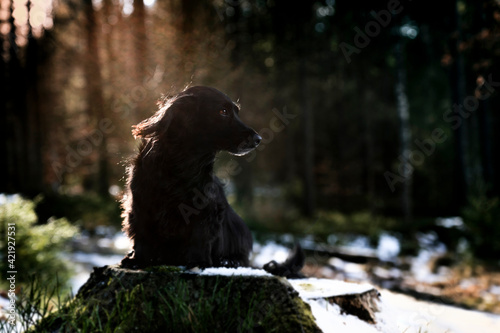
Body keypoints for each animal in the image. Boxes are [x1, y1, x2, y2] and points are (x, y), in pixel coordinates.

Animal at [120, 85, 304, 274]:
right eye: (223, 111)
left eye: (236, 112)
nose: (258, 139)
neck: (183, 162)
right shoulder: (141, 204)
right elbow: (141, 235)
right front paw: (137, 259)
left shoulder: (206, 210)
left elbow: (200, 236)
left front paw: (199, 262)